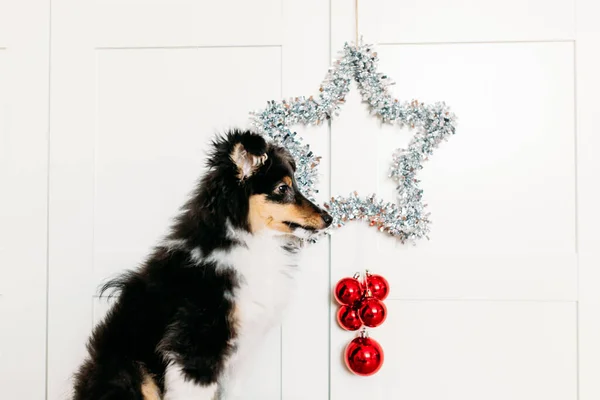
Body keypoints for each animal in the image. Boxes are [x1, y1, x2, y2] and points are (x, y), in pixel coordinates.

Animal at [72, 130, 330, 398]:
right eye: (282, 188)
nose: (329, 218)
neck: (249, 240)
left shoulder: (238, 355)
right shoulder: (198, 342)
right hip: (133, 372)